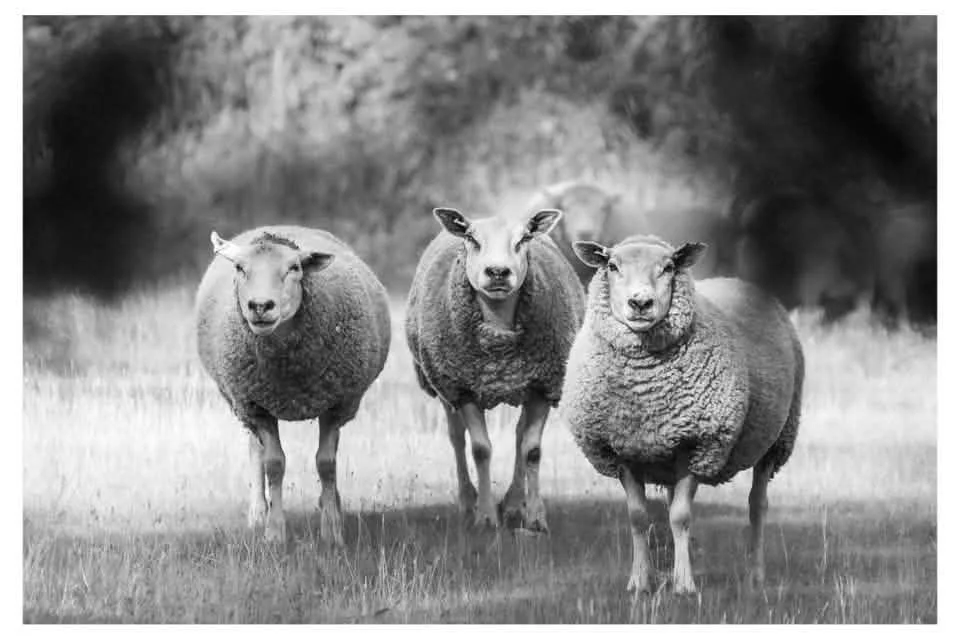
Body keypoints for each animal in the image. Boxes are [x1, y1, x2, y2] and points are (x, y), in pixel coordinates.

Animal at [195, 225, 391, 544]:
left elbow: (327, 464)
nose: (260, 306)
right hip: (244, 404)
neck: (290, 375)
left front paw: (331, 530)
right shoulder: (258, 406)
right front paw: (274, 532)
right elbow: (274, 464)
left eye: (294, 268)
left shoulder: (335, 404)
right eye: (239, 268)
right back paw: (258, 513)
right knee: (256, 451)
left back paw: (332, 504)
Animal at [405, 206, 586, 532]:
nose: (498, 272)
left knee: (519, 436)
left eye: (524, 239)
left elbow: (532, 450)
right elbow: (480, 449)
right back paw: (468, 502)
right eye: (472, 239)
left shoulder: (542, 386)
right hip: (444, 387)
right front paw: (486, 516)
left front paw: (536, 517)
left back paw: (514, 504)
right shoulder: (463, 388)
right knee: (456, 438)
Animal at [558, 234, 804, 594]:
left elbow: (680, 517)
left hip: (777, 442)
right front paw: (641, 582)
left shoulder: (698, 445)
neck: (644, 390)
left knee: (757, 505)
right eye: (612, 266)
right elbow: (638, 516)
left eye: (669, 267)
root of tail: (739, 281)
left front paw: (685, 587)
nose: (640, 303)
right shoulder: (621, 448)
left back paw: (755, 575)